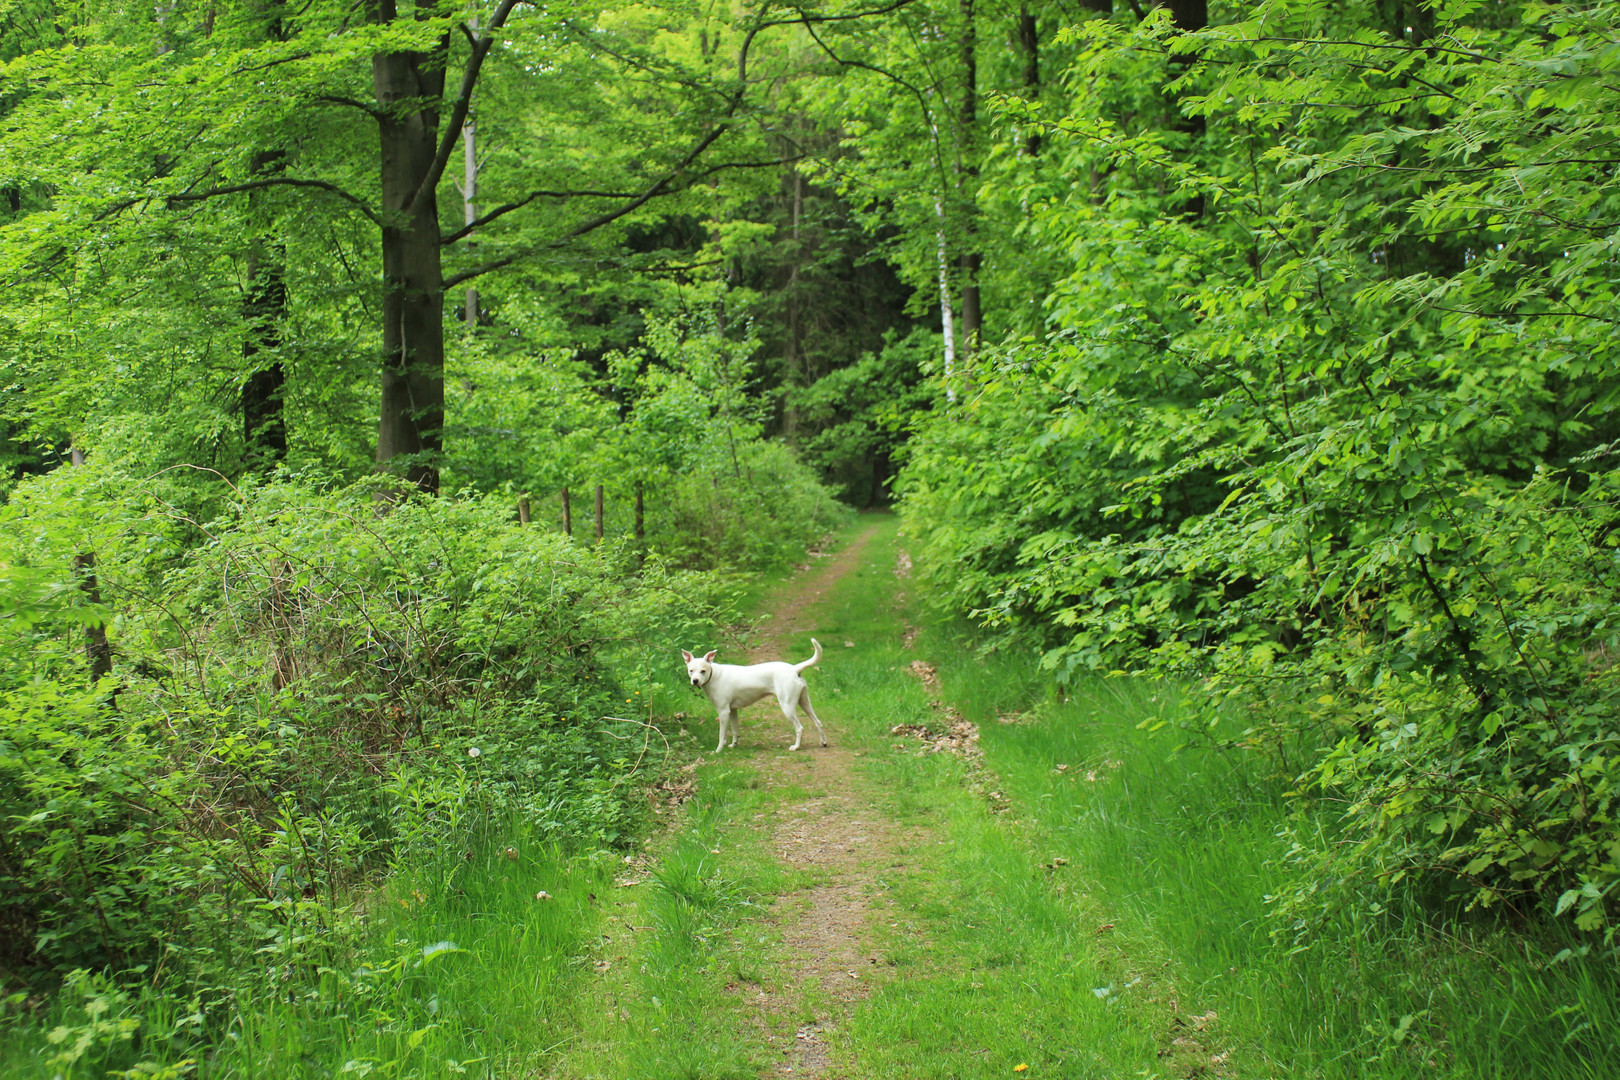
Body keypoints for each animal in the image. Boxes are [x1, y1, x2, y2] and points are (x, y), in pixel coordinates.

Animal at [683, 641, 829, 751]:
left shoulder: (723, 712)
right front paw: (733, 745)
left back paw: (796, 747)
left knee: (799, 728)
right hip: (804, 702)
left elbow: (721, 735)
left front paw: (718, 750)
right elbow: (735, 730)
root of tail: (794, 668)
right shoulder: (732, 711)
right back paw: (823, 742)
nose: (695, 681)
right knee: (818, 722)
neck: (714, 675)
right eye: (691, 671)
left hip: (787, 706)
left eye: (703, 671)